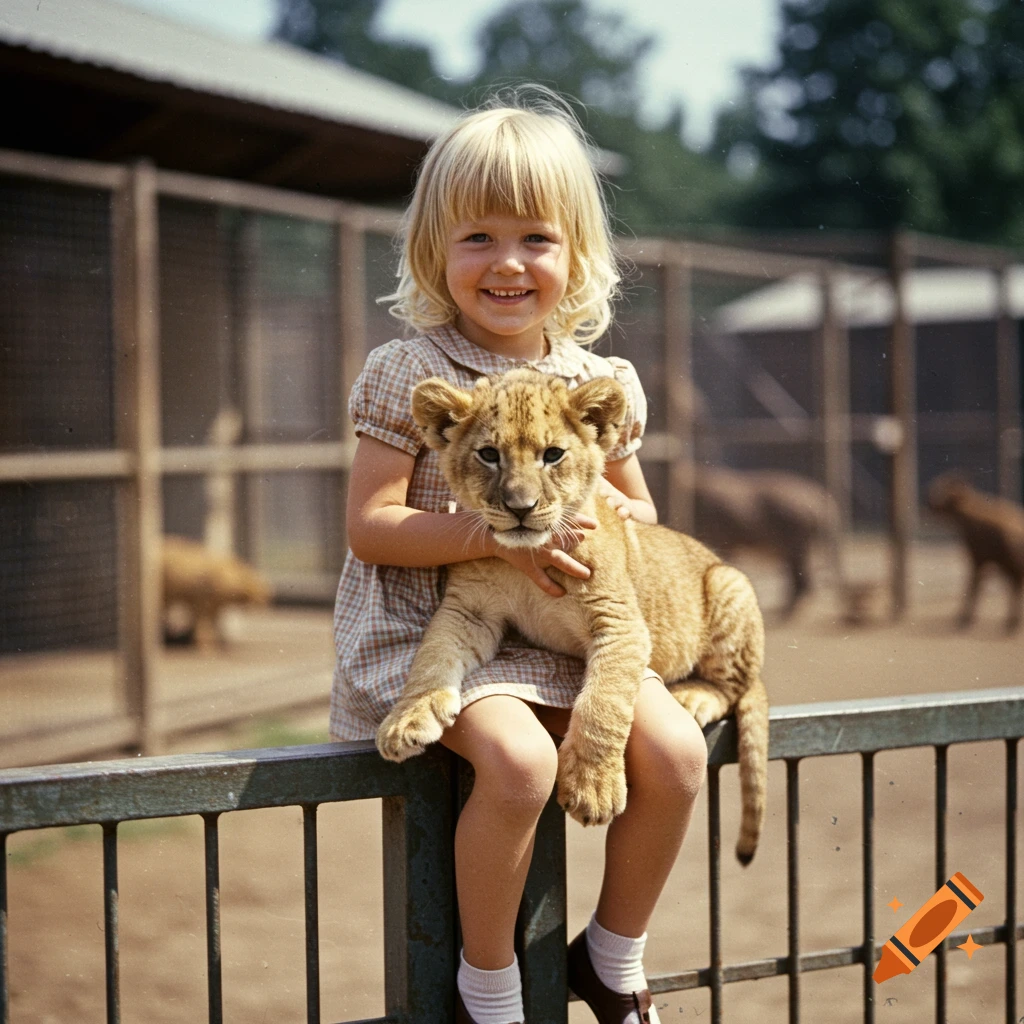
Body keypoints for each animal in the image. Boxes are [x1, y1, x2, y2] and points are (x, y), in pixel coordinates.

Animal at [375, 368, 769, 864]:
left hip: (728, 583)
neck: (529, 558)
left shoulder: (620, 624)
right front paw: (407, 718)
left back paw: (695, 697)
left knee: (737, 688)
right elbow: (430, 658)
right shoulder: (468, 612)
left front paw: (593, 789)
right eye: (489, 455)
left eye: (552, 455)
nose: (520, 507)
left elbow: (603, 704)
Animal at [927, 474, 1024, 633]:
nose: (930, 505)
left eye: (946, 495)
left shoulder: (978, 559)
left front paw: (964, 618)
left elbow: (973, 585)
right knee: (1015, 586)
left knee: (1015, 586)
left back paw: (1011, 623)